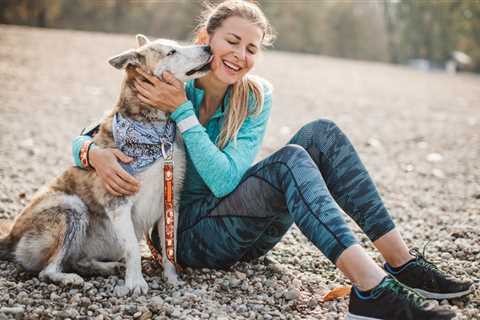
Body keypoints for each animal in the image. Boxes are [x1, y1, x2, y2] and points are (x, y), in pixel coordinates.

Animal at [0, 34, 212, 296]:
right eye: (172, 52)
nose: (208, 47)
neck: (155, 131)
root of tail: (10, 237)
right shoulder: (118, 202)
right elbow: (133, 247)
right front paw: (136, 283)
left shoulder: (170, 200)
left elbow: (169, 247)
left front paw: (172, 280)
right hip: (71, 207)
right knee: (47, 270)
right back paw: (69, 279)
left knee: (77, 260)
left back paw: (106, 267)